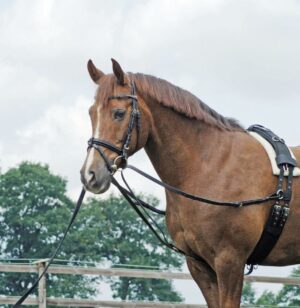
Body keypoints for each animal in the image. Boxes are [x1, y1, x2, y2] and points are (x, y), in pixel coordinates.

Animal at [79, 59, 300, 306]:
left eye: (118, 113)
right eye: (91, 113)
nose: (90, 174)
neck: (209, 166)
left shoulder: (230, 260)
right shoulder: (199, 264)